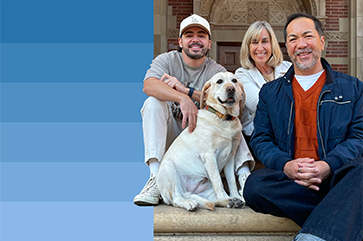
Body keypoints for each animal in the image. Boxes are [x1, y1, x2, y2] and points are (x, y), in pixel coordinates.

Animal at [157, 72, 246, 211]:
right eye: (219, 81)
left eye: (234, 80)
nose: (231, 89)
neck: (224, 119)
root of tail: (188, 192)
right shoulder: (209, 156)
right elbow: (218, 181)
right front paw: (226, 195)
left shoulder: (230, 158)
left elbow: (231, 181)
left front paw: (235, 196)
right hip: (169, 168)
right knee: (176, 199)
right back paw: (189, 203)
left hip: (206, 189)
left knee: (212, 201)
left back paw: (231, 200)